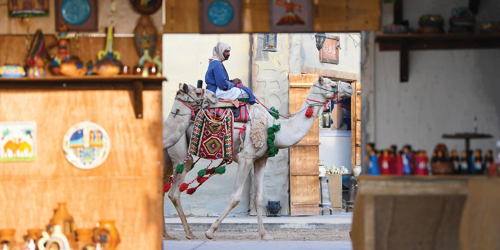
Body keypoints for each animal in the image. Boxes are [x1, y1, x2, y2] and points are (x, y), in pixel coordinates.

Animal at [162, 76, 354, 240]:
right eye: (331, 84)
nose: (350, 87)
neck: (275, 128)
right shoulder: (246, 157)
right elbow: (236, 197)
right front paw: (210, 231)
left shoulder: (261, 159)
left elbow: (259, 198)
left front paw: (264, 234)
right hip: (181, 154)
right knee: (174, 192)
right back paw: (189, 233)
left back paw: (167, 235)